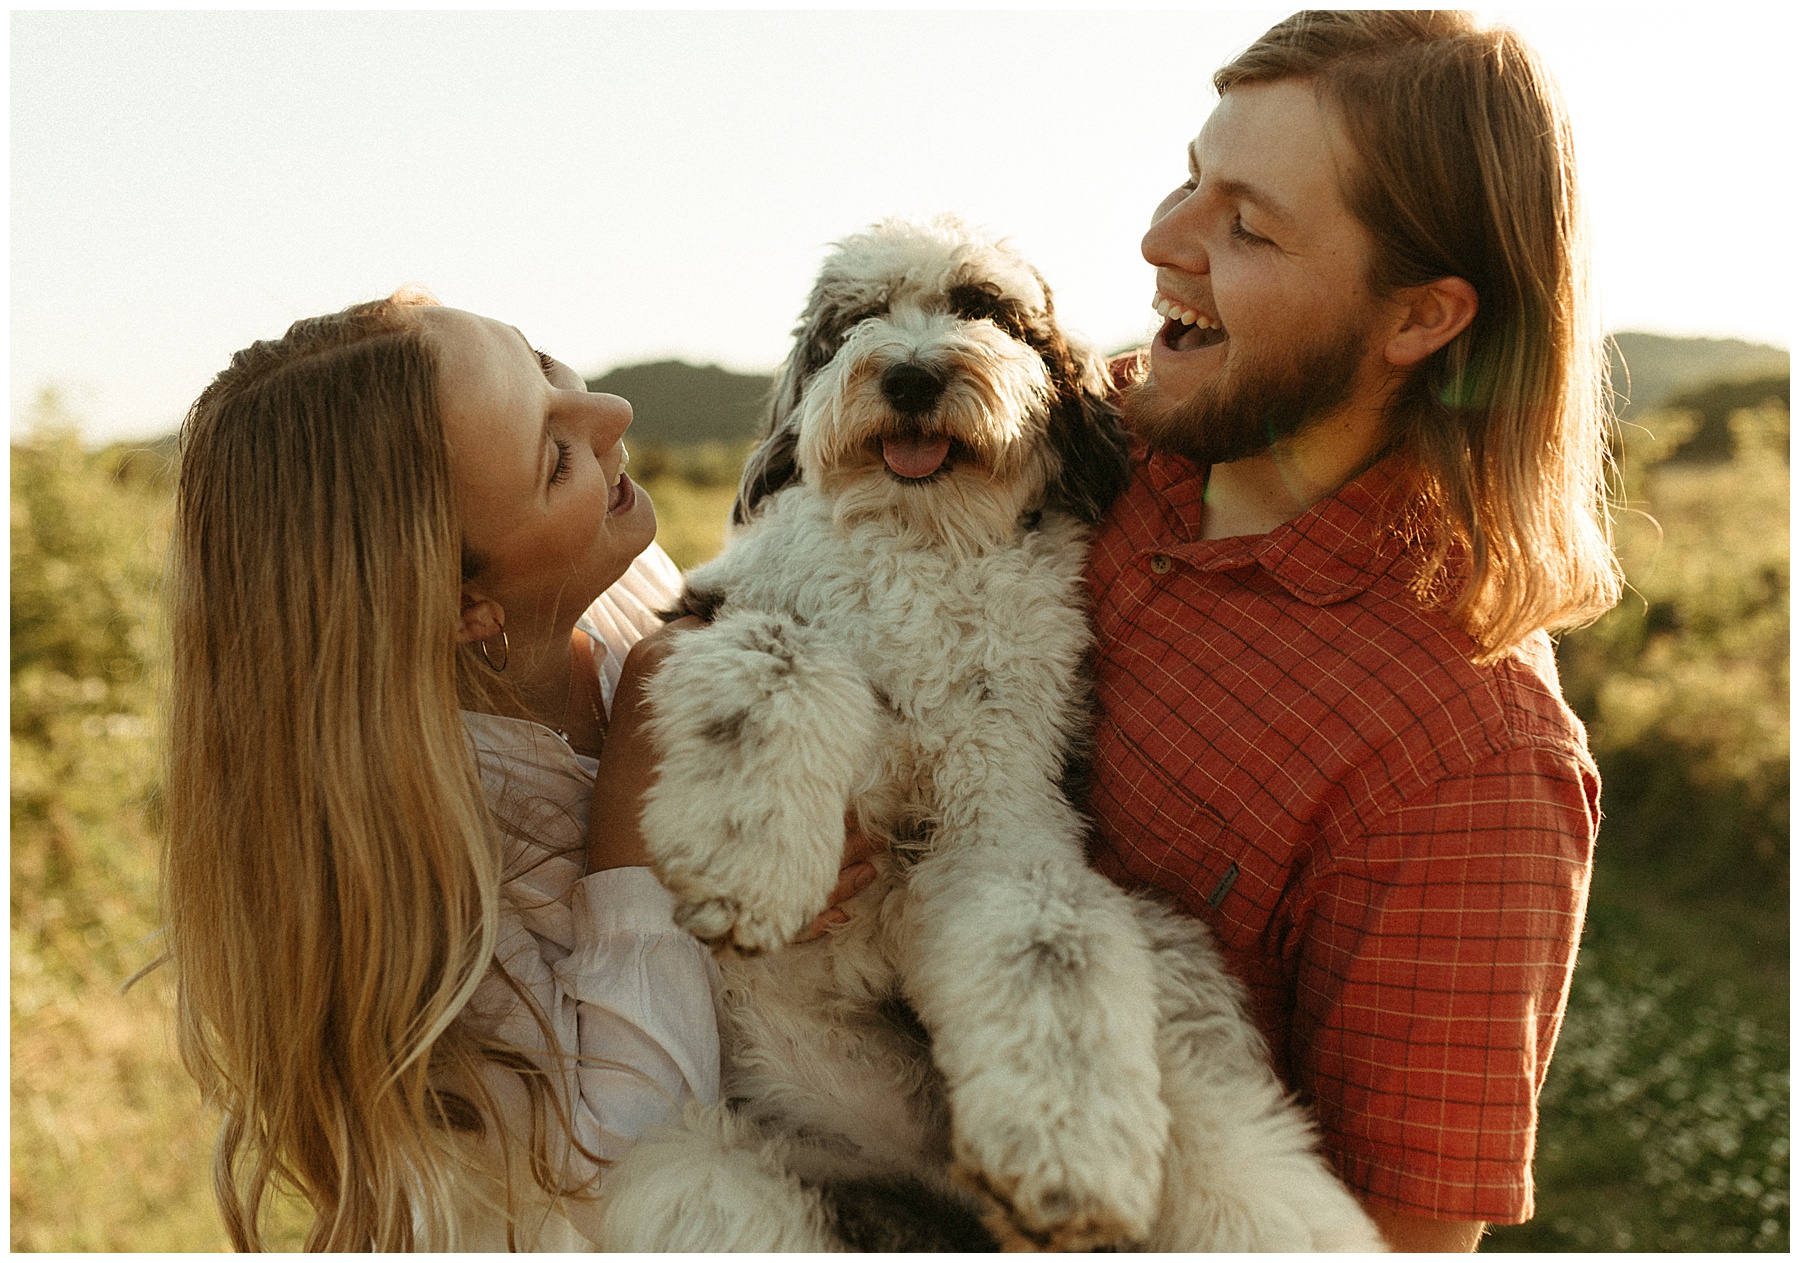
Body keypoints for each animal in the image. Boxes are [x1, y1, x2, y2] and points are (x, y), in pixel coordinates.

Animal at [597, 220, 1382, 1259]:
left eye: (985, 309)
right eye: (857, 318)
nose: (912, 377)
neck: (922, 544)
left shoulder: (998, 814)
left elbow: (1045, 941)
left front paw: (1066, 1153)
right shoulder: (718, 612)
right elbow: (790, 654)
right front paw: (750, 864)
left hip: (1168, 944)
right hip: (698, 1170)